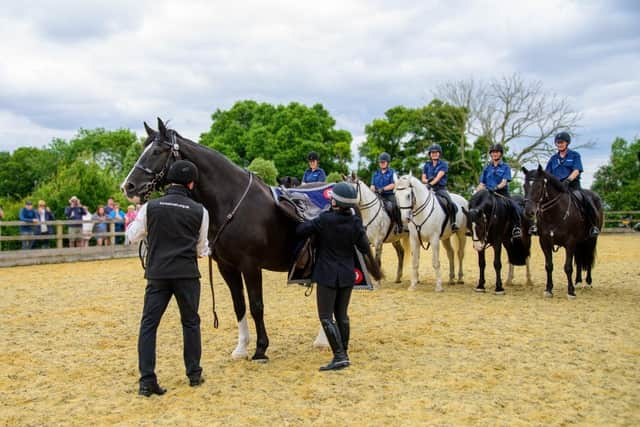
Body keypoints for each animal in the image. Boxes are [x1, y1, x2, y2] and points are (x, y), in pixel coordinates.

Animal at [122, 118, 300, 362]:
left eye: (157, 151)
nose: (128, 186)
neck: (233, 202)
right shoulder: (227, 267)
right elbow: (239, 305)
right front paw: (241, 348)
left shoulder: (251, 266)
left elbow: (256, 306)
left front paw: (260, 349)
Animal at [524, 166, 604, 300]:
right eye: (524, 185)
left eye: (538, 186)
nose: (528, 211)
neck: (554, 214)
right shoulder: (544, 242)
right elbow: (549, 266)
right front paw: (548, 289)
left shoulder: (570, 242)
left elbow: (568, 267)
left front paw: (570, 292)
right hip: (579, 242)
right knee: (579, 259)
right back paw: (578, 281)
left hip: (591, 240)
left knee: (588, 259)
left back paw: (587, 282)